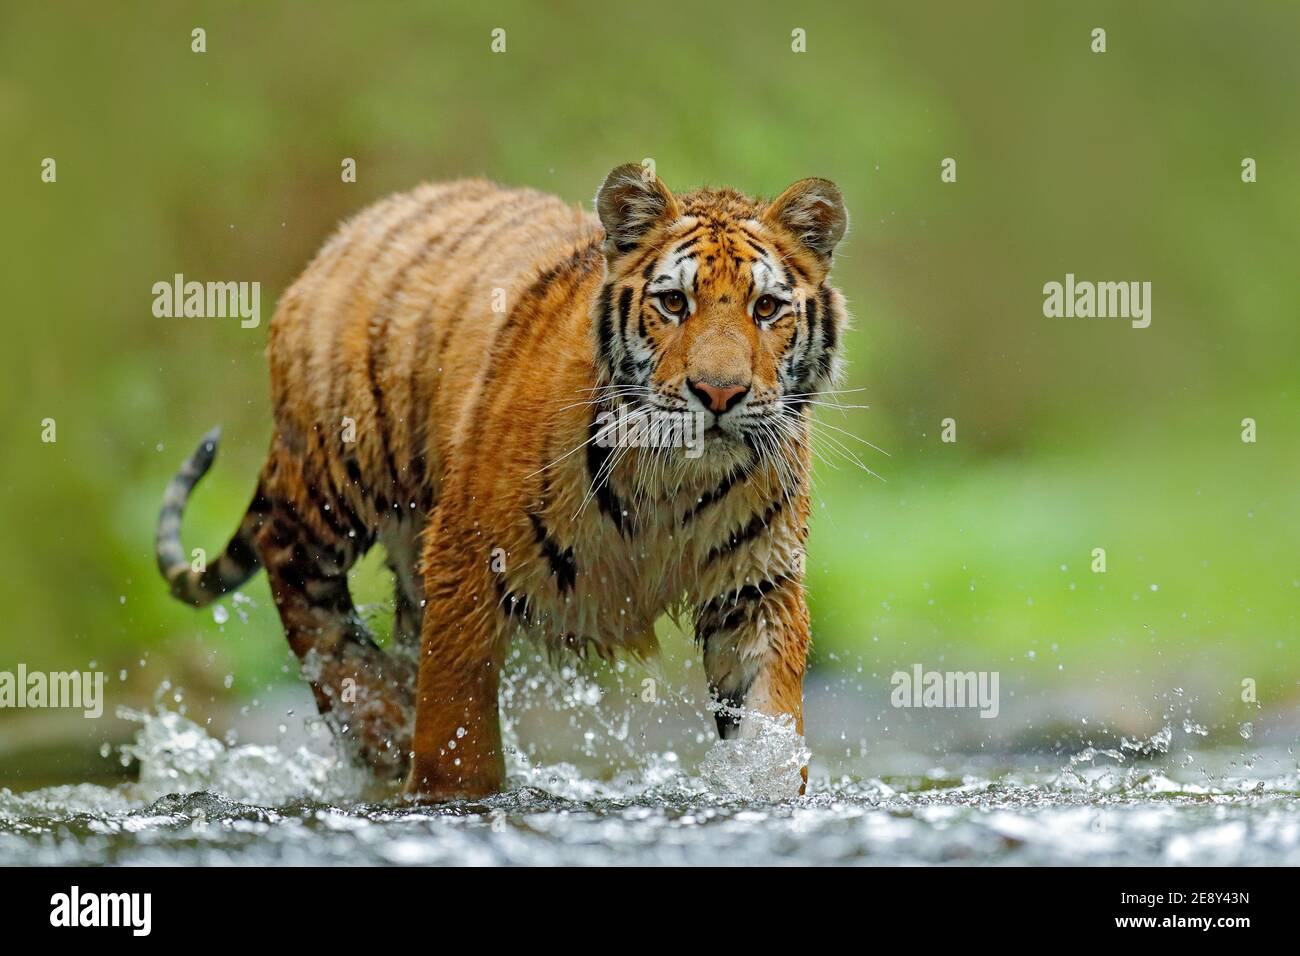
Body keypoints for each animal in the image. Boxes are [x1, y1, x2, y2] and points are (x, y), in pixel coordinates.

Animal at [154, 164, 850, 801]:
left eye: (766, 308)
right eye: (674, 302)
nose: (720, 394)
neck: (671, 480)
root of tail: (349, 231)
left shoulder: (758, 589)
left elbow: (770, 729)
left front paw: (763, 788)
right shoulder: (466, 560)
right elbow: (455, 726)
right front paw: (450, 790)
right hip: (335, 476)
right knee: (294, 570)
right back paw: (376, 717)